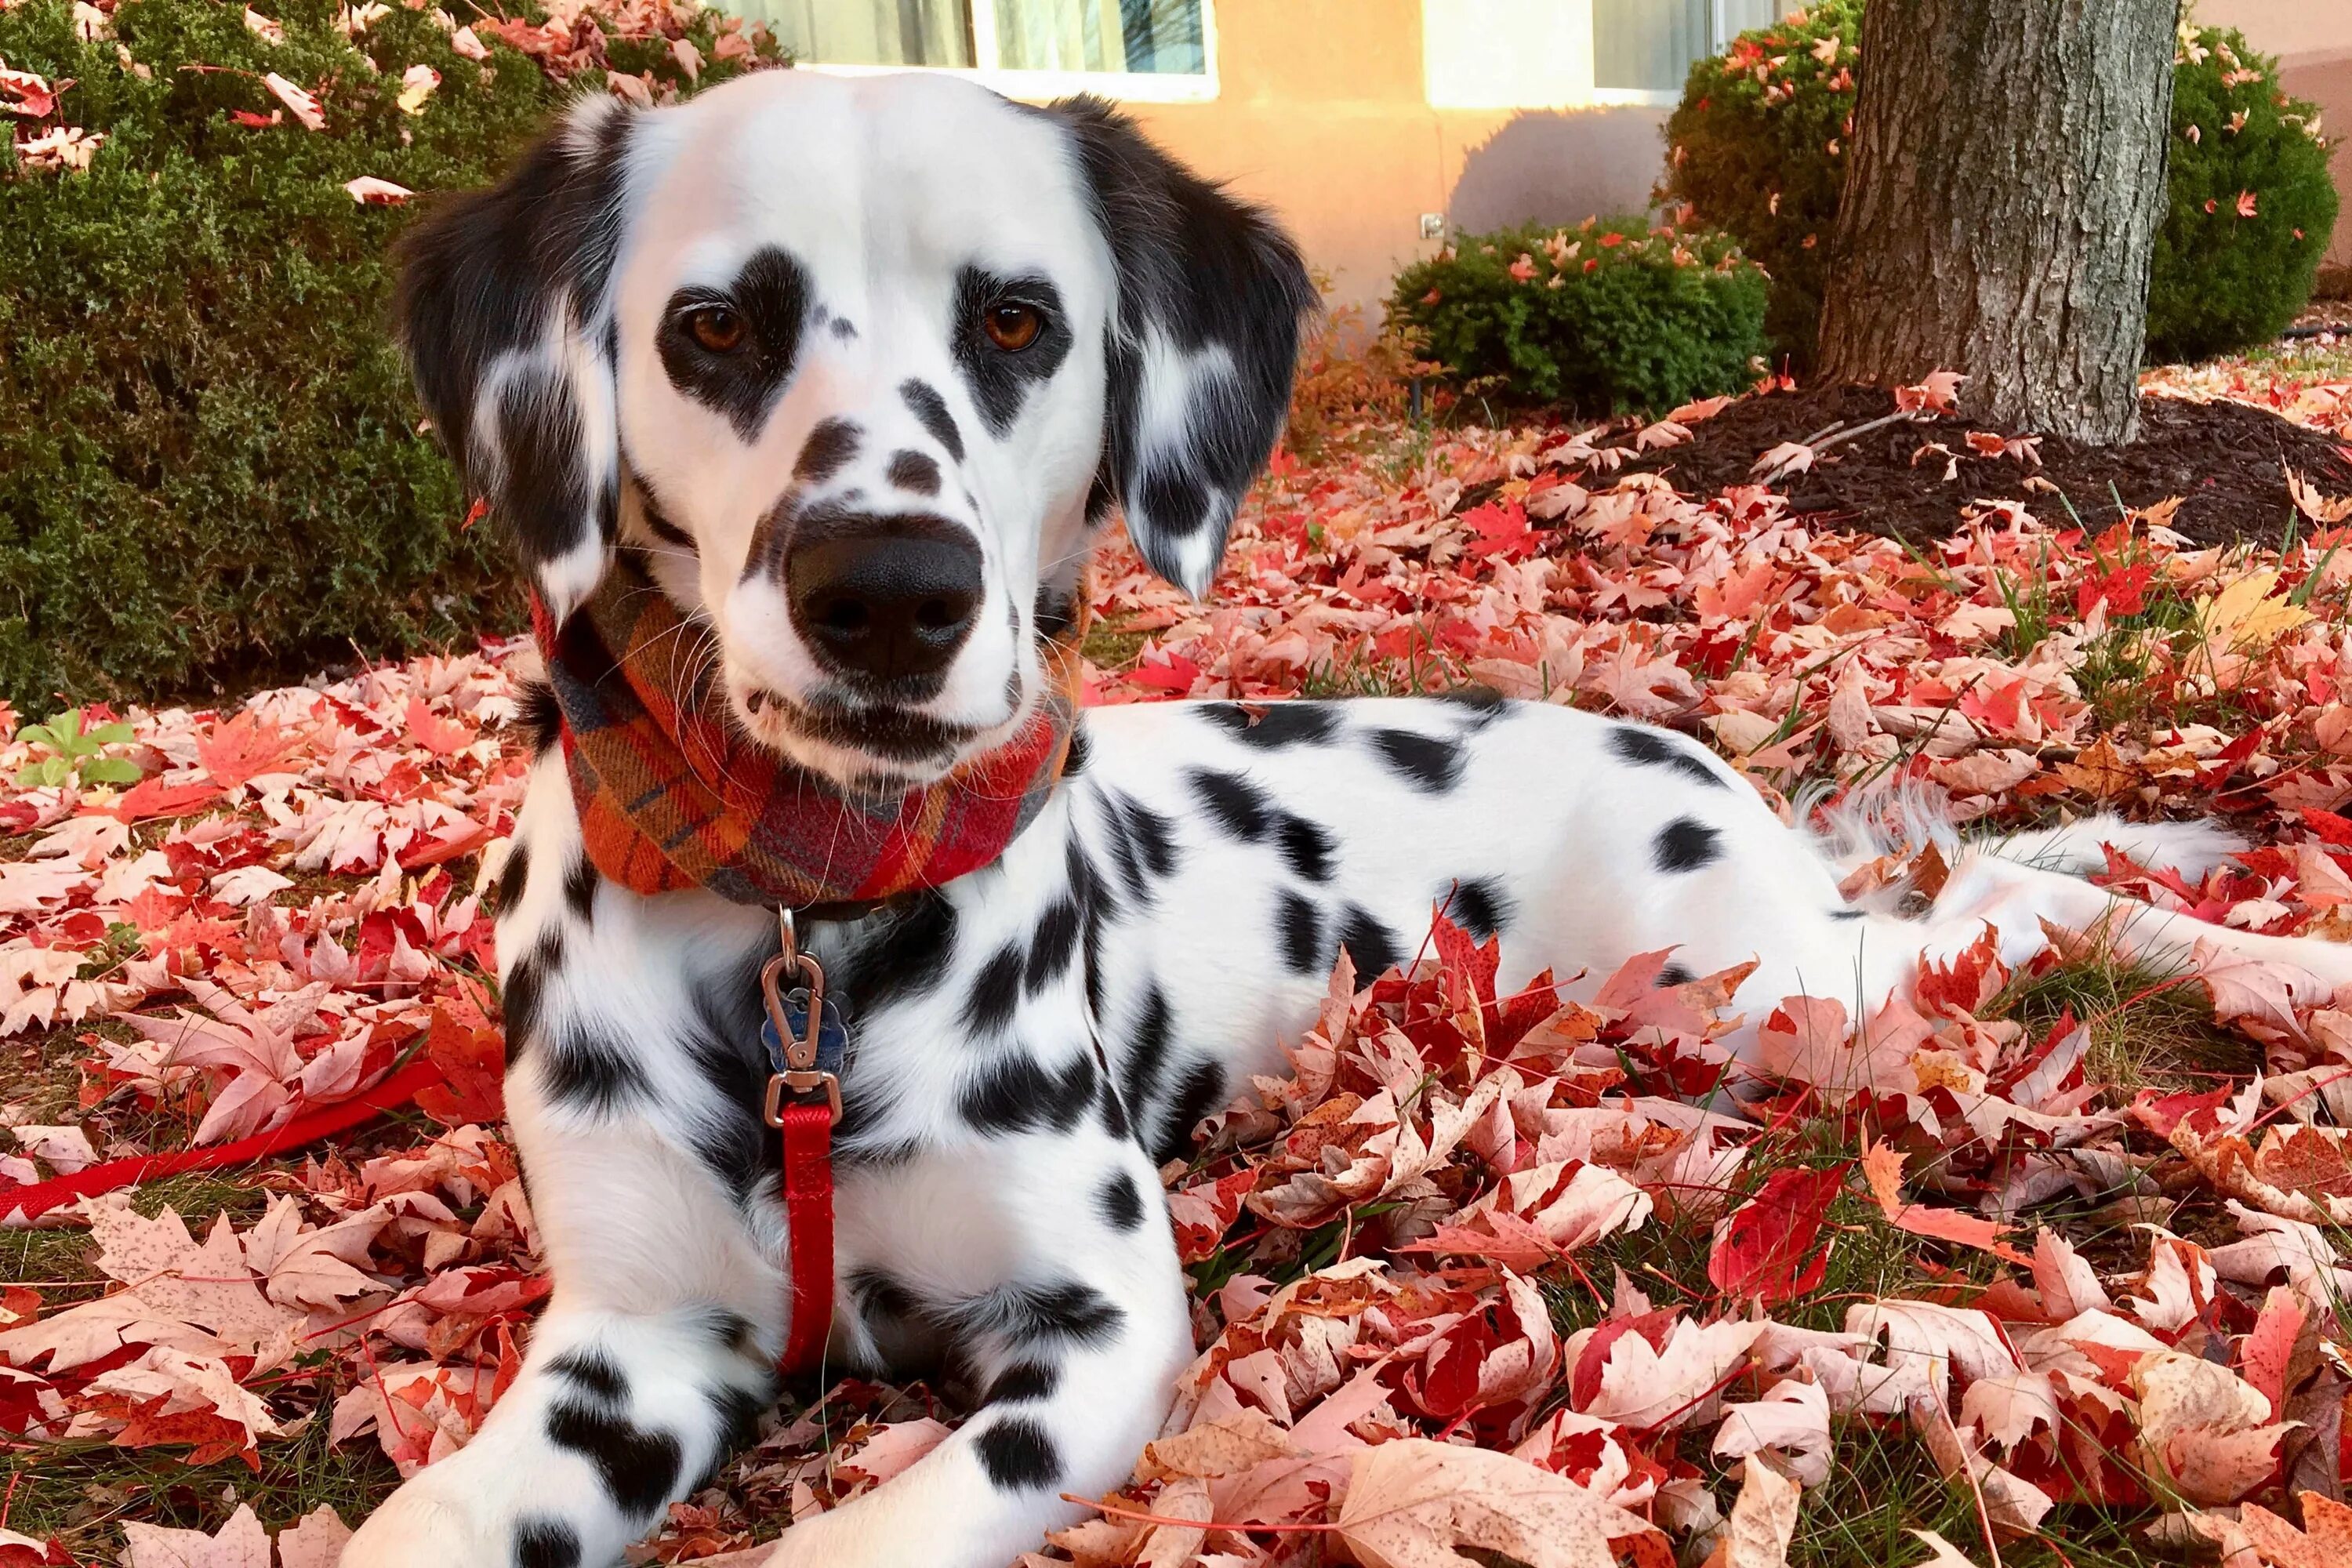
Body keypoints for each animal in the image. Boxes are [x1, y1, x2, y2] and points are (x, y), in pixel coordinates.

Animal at [343, 64, 2352, 1568]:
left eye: (1015, 321)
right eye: (712, 329)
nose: (889, 593)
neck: (803, 932)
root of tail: (1686, 764)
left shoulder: (1094, 1321)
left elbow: (874, 1531)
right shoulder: (625, 1344)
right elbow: (417, 1525)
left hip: (1773, 994)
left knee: (2020, 899)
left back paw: (2271, 956)